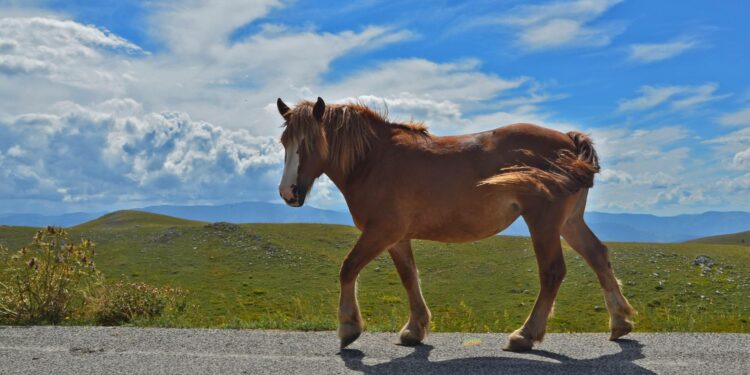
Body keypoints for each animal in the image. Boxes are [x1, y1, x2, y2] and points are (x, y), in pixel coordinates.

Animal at [274, 97, 636, 352]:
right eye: (284, 143)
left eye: (309, 142)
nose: (287, 192)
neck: (374, 160)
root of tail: (569, 140)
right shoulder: (396, 237)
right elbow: (409, 276)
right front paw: (415, 328)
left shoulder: (381, 232)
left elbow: (348, 268)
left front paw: (349, 327)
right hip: (569, 222)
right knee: (598, 256)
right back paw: (619, 322)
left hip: (544, 222)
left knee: (552, 272)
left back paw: (525, 335)